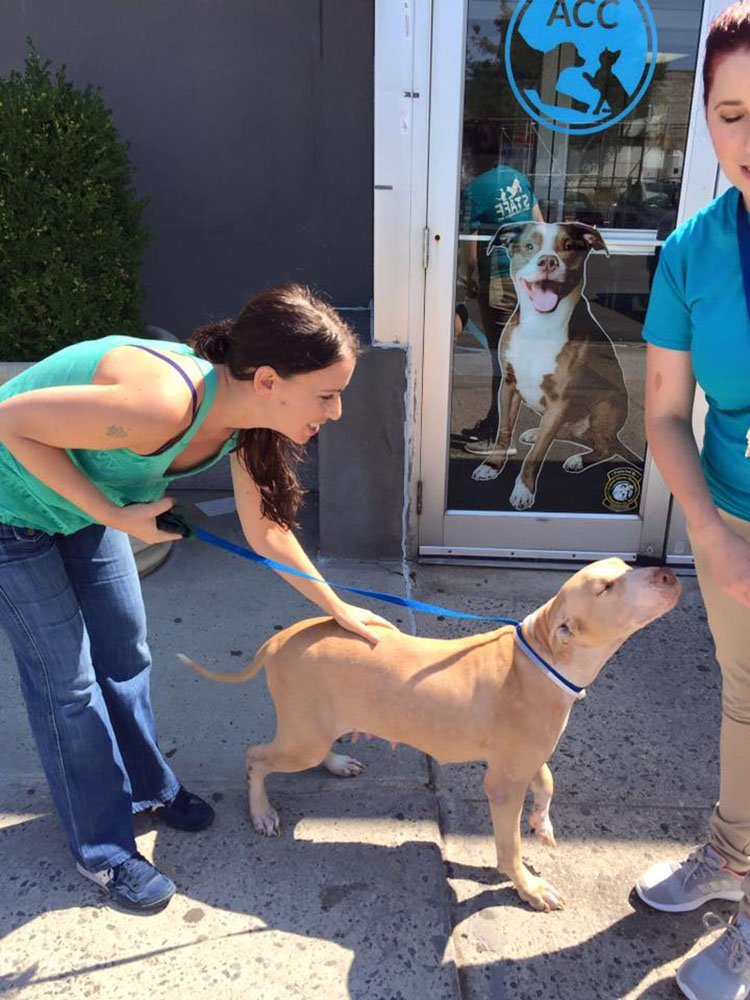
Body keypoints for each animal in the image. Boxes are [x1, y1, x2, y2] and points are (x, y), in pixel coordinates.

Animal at [181, 560, 680, 912]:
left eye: (625, 564)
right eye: (606, 587)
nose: (668, 573)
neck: (542, 657)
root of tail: (282, 638)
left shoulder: (526, 757)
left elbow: (547, 781)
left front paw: (542, 822)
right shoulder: (503, 782)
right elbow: (509, 846)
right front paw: (527, 885)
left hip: (316, 726)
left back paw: (337, 763)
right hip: (302, 738)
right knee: (256, 757)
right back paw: (262, 811)